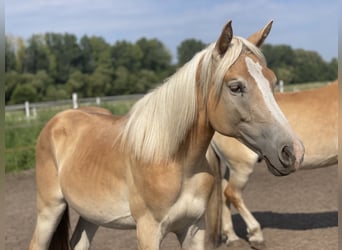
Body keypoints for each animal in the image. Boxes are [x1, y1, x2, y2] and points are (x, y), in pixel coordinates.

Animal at [28, 20, 304, 250]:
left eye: (272, 81)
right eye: (235, 87)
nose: (293, 151)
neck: (172, 161)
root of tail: (57, 121)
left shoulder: (192, 229)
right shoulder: (148, 232)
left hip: (90, 215)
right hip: (50, 209)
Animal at [207, 81, 338, 249]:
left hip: (233, 167)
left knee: (224, 193)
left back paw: (232, 237)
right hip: (242, 167)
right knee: (232, 193)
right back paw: (256, 236)